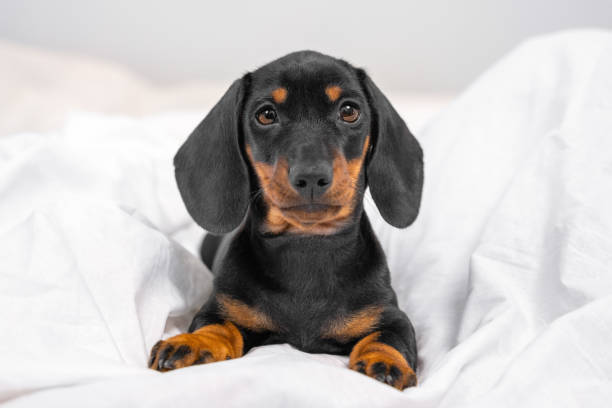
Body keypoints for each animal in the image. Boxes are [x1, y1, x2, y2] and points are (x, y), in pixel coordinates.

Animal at [151, 50, 424, 388]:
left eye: (349, 111)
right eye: (266, 114)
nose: (311, 176)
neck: (306, 246)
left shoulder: (392, 316)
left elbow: (388, 337)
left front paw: (383, 361)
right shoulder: (221, 309)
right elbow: (216, 326)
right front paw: (192, 343)